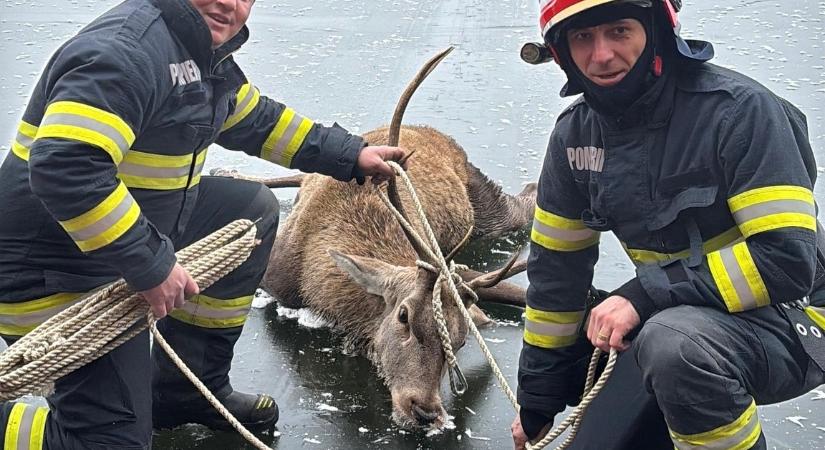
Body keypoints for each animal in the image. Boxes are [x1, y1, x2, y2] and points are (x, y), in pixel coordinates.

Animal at [212, 48, 536, 428]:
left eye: (459, 343)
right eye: (404, 317)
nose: (425, 410)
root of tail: (433, 132)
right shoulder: (276, 277)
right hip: (482, 196)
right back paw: (228, 170)